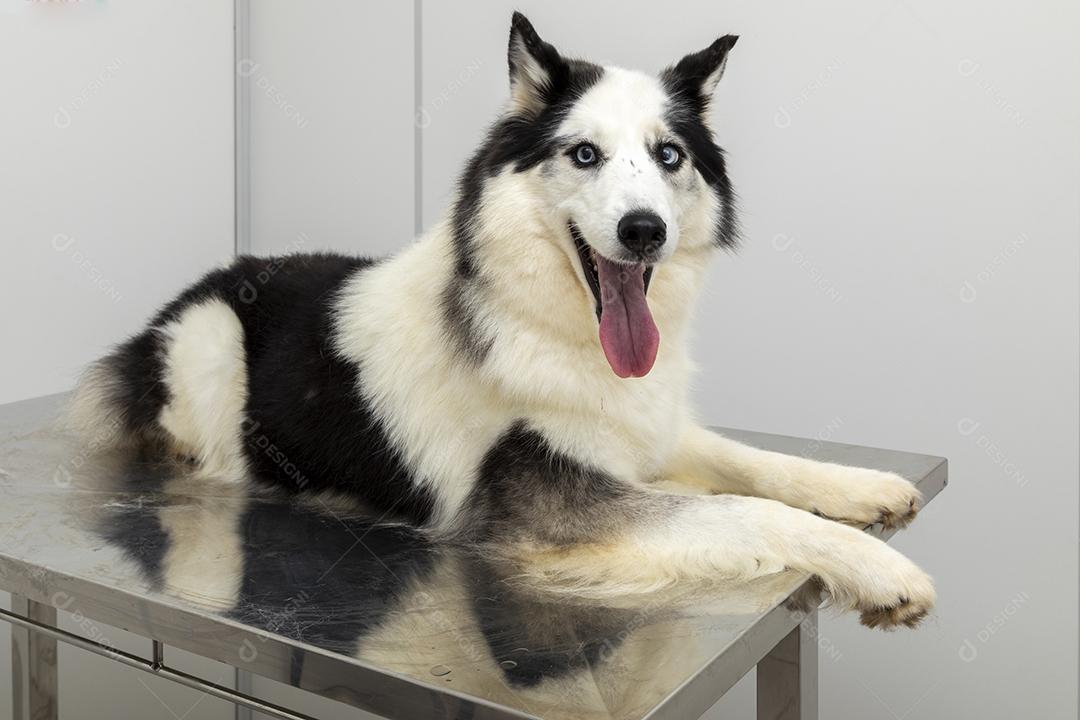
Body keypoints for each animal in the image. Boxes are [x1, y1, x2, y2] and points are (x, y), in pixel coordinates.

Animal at [73, 14, 937, 626]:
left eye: (668, 156)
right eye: (584, 154)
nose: (644, 231)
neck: (558, 331)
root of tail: (226, 272)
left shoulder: (650, 432)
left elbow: (754, 465)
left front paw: (862, 487)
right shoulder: (546, 507)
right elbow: (742, 508)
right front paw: (881, 569)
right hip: (210, 347)